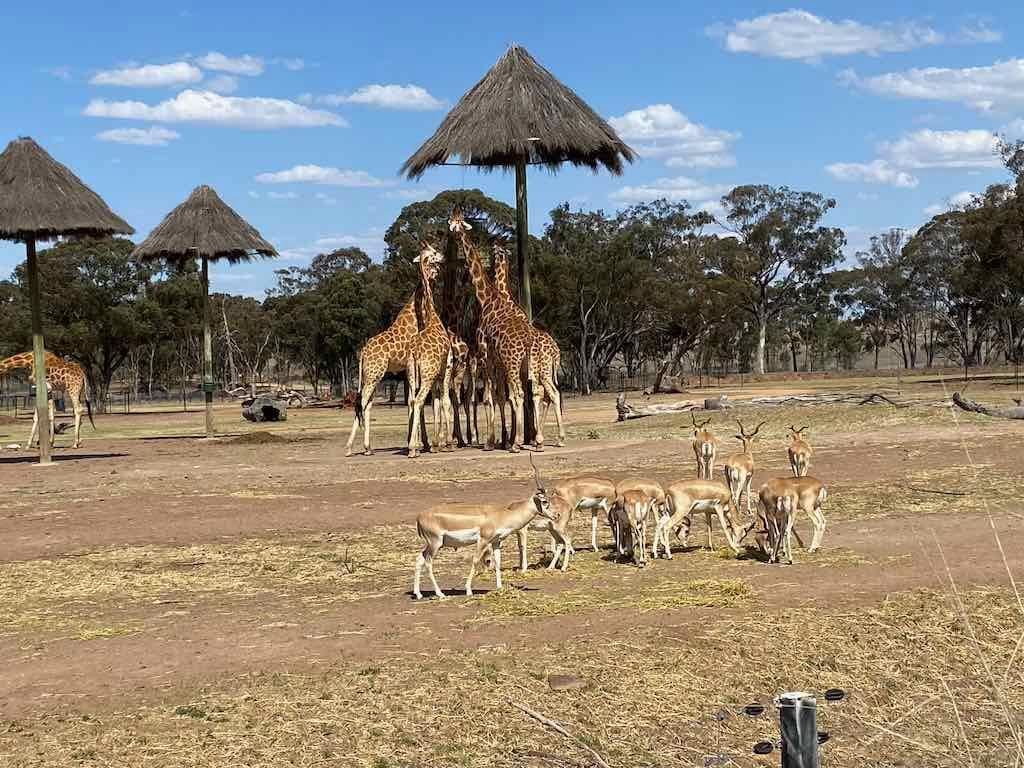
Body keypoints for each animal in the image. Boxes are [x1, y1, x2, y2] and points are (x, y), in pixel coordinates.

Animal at [411, 456, 557, 602]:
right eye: (545, 501)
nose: (556, 515)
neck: (501, 515)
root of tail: (420, 516)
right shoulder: (483, 540)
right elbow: (475, 560)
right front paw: (468, 590)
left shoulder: (496, 541)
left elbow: (497, 561)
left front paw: (499, 588)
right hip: (435, 543)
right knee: (428, 563)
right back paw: (440, 593)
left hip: (431, 544)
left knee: (419, 559)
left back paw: (418, 594)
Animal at [452, 207, 540, 454]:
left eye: (455, 222)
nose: (452, 230)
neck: (488, 298)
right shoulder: (496, 361)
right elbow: (500, 397)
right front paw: (502, 438)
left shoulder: (485, 353)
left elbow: (491, 397)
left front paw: (492, 441)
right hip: (527, 365)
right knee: (531, 393)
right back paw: (534, 440)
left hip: (510, 363)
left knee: (517, 394)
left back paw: (517, 442)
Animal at [489, 244, 569, 450]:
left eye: (495, 253)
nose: (490, 263)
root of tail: (556, 352)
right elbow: (523, 397)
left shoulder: (503, 365)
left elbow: (511, 396)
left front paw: (511, 440)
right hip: (544, 370)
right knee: (548, 395)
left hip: (540, 370)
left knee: (548, 394)